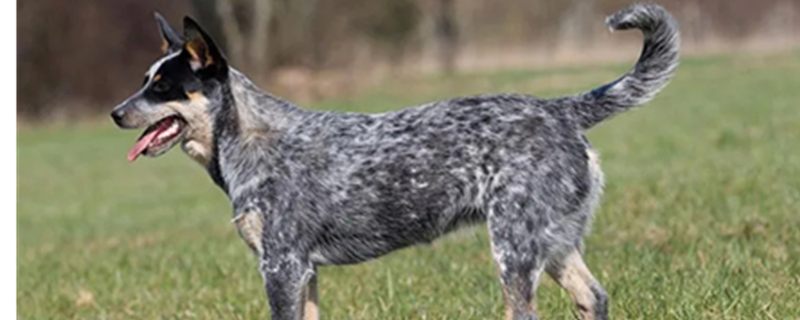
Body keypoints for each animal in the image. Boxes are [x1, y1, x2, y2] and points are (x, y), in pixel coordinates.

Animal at [109, 4, 680, 320]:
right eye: (144, 79)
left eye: (163, 87)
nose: (115, 113)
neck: (248, 140)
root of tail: (561, 108)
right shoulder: (304, 271)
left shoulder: (282, 266)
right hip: (554, 243)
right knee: (594, 298)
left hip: (515, 249)